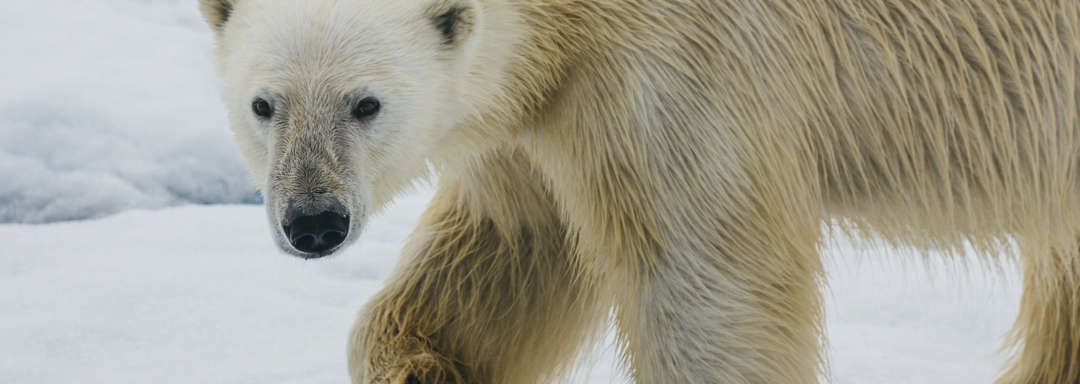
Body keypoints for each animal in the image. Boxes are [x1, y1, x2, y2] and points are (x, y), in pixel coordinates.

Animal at [200, 0, 1080, 381]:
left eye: (366, 103)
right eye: (265, 104)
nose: (314, 221)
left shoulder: (683, 71)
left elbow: (710, 298)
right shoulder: (538, 109)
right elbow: (513, 249)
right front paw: (426, 364)